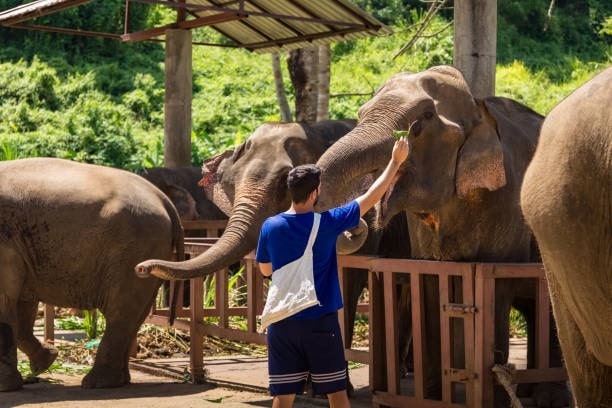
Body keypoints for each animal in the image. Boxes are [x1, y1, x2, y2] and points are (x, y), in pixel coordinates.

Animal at [0, 157, 183, 392]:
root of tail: (164, 199)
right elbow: (21, 304)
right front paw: (45, 362)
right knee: (135, 314)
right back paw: (119, 381)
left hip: (137, 248)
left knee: (120, 310)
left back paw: (96, 383)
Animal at [314, 65, 572, 406]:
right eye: (361, 113)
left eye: (424, 118)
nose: (356, 225)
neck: (478, 109)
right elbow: (430, 283)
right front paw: (434, 396)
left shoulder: (507, 203)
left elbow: (496, 285)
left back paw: (547, 397)